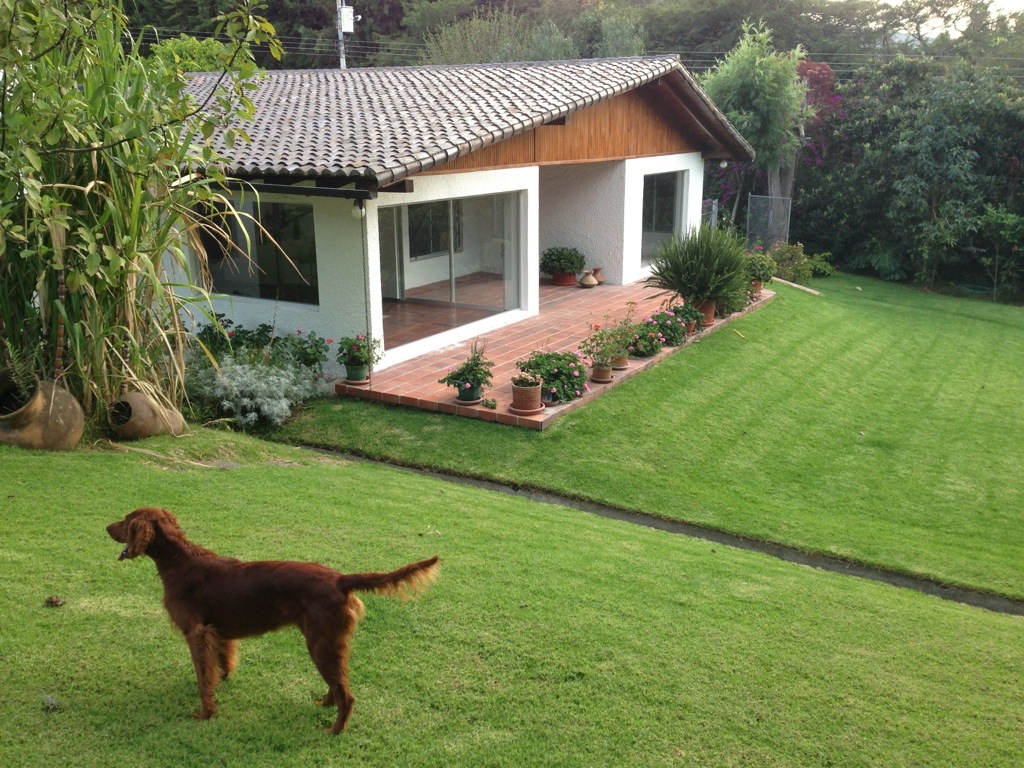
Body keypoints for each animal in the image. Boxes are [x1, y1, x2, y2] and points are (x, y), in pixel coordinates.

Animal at [106, 506, 439, 734]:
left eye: (126, 520)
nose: (106, 526)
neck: (180, 563)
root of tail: (340, 579)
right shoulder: (217, 632)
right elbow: (219, 665)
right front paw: (220, 685)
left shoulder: (196, 632)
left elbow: (202, 677)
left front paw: (205, 713)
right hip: (328, 643)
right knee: (338, 684)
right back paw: (324, 705)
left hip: (320, 644)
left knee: (347, 694)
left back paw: (334, 730)